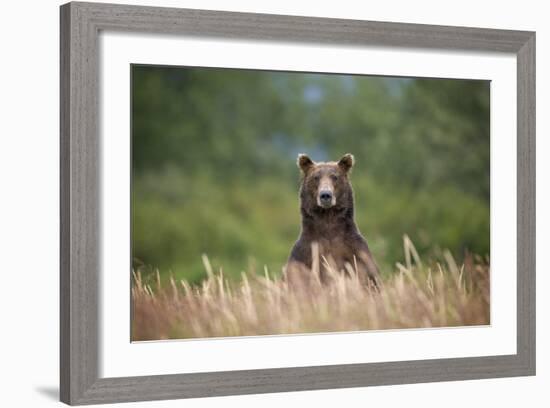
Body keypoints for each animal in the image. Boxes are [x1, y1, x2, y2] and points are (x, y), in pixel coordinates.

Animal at [286, 153, 382, 286]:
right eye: (316, 177)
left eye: (335, 177)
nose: (325, 195)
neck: (328, 218)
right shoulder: (305, 254)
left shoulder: (355, 251)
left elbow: (370, 277)